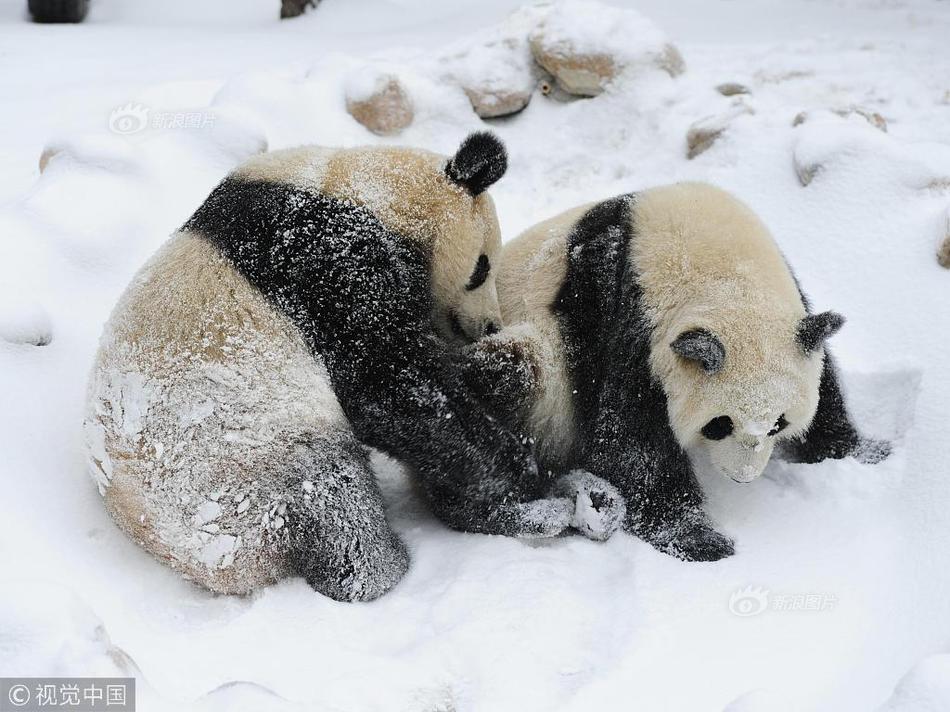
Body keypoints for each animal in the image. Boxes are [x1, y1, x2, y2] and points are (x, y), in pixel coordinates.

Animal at [83, 134, 624, 600]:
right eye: (482, 267)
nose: (488, 326)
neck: (364, 190)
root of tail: (203, 567)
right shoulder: (323, 259)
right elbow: (393, 389)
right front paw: (524, 473)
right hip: (244, 475)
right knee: (334, 501)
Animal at [462, 182, 892, 560]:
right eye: (720, 424)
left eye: (778, 423)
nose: (743, 477)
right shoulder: (624, 318)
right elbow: (631, 441)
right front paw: (698, 539)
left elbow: (826, 383)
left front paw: (863, 451)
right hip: (536, 376)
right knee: (506, 379)